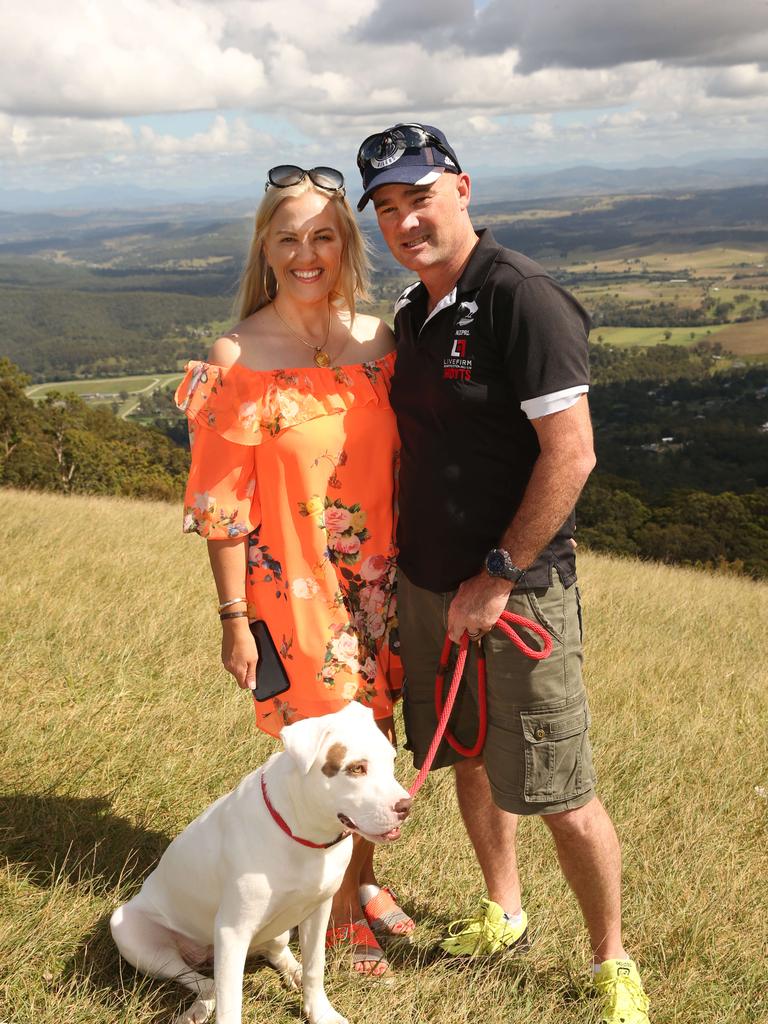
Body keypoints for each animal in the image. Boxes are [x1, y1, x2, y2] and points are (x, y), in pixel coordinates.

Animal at [111, 704, 411, 1024]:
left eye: (392, 760)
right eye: (356, 768)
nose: (406, 806)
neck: (304, 835)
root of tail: (204, 954)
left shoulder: (318, 910)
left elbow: (315, 967)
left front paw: (321, 1013)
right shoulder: (232, 931)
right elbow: (230, 1004)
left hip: (278, 929)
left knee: (274, 953)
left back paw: (292, 972)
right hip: (131, 933)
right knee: (205, 982)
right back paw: (198, 1008)